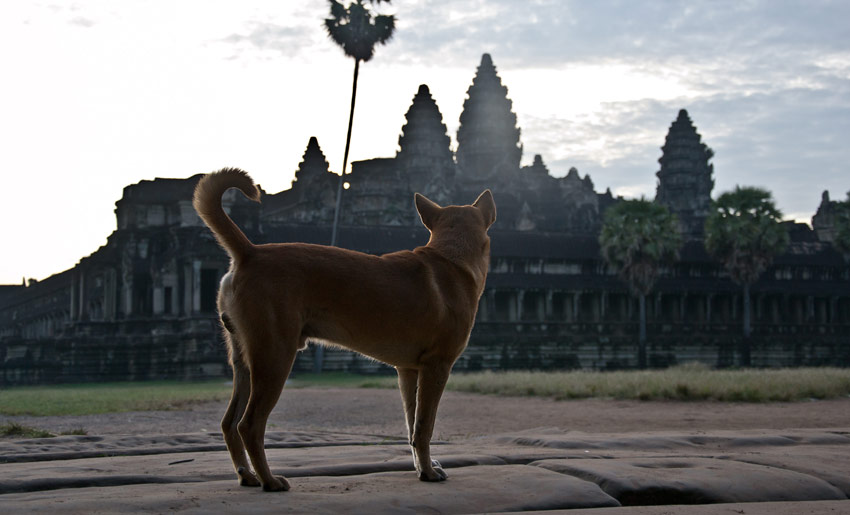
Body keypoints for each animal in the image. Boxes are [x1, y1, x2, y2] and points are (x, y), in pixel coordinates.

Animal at [190, 168, 496, 492]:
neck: (450, 259)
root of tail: (251, 252)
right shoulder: (436, 366)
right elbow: (424, 426)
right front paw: (427, 472)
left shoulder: (408, 370)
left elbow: (412, 425)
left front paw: (420, 466)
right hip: (274, 357)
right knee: (249, 425)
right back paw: (269, 480)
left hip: (245, 361)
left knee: (228, 423)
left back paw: (246, 475)